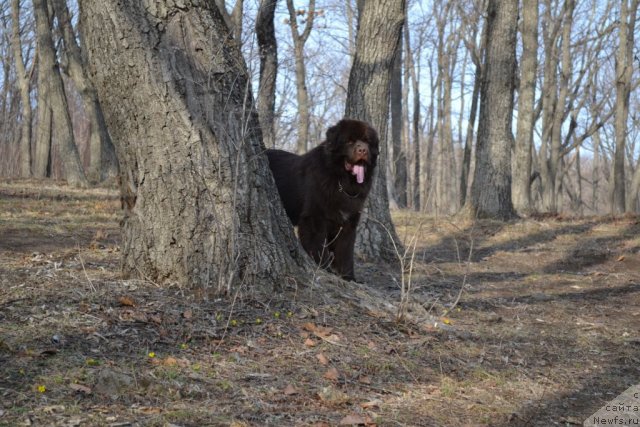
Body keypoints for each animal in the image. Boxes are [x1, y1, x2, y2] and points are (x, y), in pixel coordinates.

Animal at [266, 118, 378, 282]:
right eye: (349, 141)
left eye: (367, 142)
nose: (363, 150)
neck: (342, 181)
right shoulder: (314, 218)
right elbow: (318, 245)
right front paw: (324, 269)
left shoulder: (348, 223)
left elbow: (345, 251)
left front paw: (348, 277)